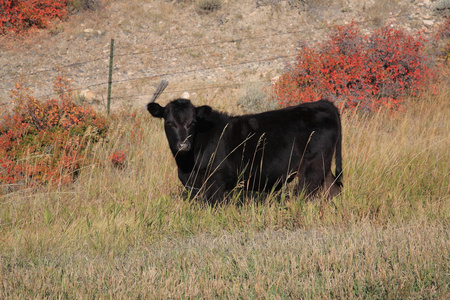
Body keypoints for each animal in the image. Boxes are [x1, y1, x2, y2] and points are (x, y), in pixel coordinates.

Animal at [147, 95, 342, 204]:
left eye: (193, 122)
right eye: (169, 122)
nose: (183, 145)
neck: (187, 166)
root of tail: (321, 103)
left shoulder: (215, 182)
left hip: (312, 167)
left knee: (309, 195)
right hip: (323, 167)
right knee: (333, 190)